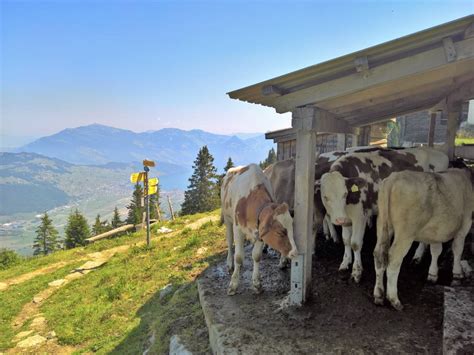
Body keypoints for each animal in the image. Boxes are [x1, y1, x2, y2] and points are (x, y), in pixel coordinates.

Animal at [221, 165, 296, 296]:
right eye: (280, 232)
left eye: (292, 227)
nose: (295, 252)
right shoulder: (238, 229)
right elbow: (238, 256)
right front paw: (233, 285)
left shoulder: (261, 232)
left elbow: (256, 256)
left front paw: (257, 284)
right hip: (227, 219)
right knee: (230, 244)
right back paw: (230, 264)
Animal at [318, 147, 448, 284]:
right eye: (325, 197)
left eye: (344, 194)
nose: (339, 219)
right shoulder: (346, 218)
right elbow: (346, 240)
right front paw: (345, 262)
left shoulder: (360, 216)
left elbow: (355, 243)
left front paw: (356, 272)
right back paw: (418, 257)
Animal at [372, 170, 472, 312]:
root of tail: (394, 177)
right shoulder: (465, 224)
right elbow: (458, 248)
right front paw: (458, 273)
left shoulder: (436, 231)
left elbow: (436, 250)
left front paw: (433, 274)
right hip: (405, 233)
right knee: (394, 259)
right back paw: (394, 300)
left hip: (382, 224)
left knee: (379, 255)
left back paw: (379, 295)